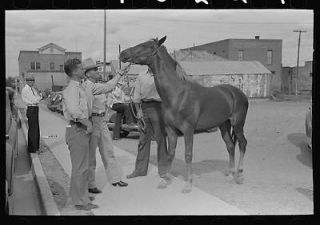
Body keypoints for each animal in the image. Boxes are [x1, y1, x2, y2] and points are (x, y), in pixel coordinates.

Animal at [119, 36, 249, 192]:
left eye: (147, 46)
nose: (123, 54)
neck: (177, 94)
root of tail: (238, 93)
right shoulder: (170, 130)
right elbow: (170, 154)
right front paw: (165, 180)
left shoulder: (188, 130)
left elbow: (188, 155)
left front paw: (188, 184)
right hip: (224, 125)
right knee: (230, 146)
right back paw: (230, 175)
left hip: (238, 124)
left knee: (242, 144)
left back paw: (240, 176)